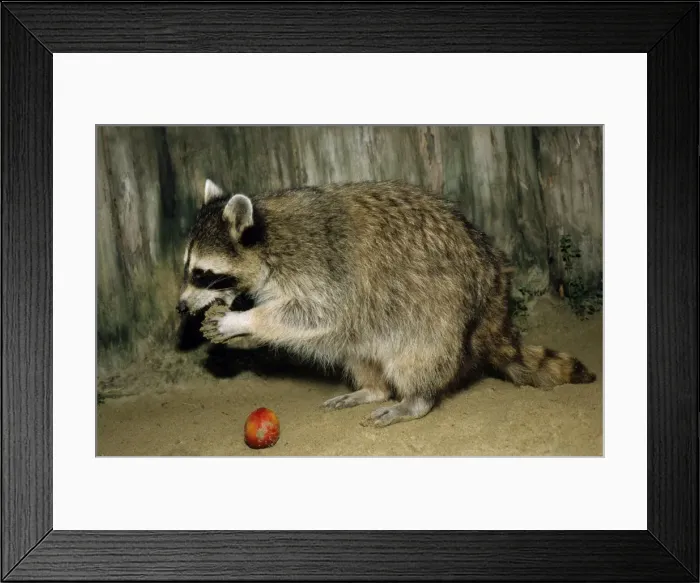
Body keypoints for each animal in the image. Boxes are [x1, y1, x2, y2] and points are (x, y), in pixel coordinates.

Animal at [178, 178, 596, 427]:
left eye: (201, 273)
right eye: (187, 268)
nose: (181, 307)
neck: (268, 237)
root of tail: (492, 270)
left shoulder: (325, 268)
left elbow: (315, 315)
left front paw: (244, 321)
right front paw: (242, 331)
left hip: (439, 308)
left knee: (417, 356)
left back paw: (415, 399)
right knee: (357, 349)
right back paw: (372, 388)